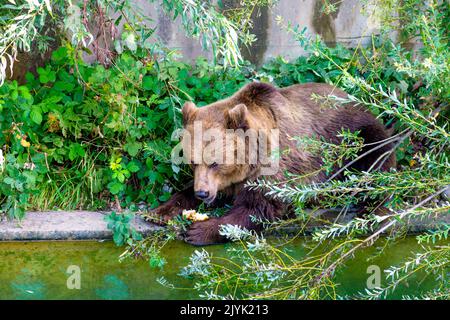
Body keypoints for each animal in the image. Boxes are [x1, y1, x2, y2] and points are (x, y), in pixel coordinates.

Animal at [153, 82, 396, 245]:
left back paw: (367, 208)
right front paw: (160, 211)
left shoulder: (276, 168)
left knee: (376, 162)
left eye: (215, 162)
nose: (202, 193)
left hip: (357, 135)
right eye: (193, 162)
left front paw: (198, 230)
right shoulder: (227, 181)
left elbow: (259, 208)